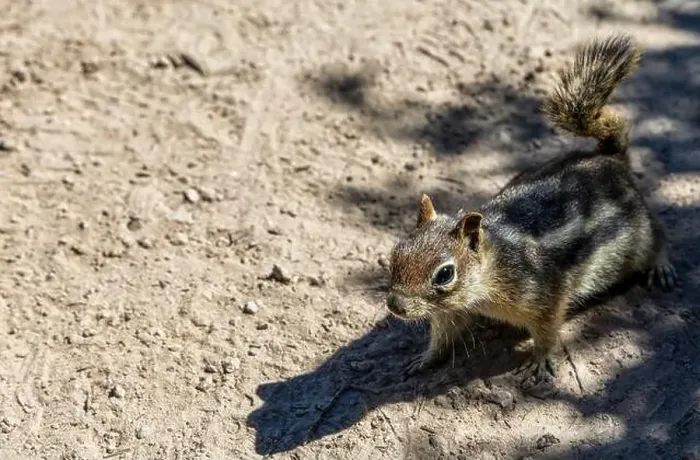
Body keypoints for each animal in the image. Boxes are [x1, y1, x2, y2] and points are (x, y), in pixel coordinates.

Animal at [386, 34, 678, 384]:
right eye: (395, 254)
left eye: (445, 274)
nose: (395, 306)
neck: (492, 269)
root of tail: (609, 157)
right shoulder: (452, 311)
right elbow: (443, 336)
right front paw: (424, 359)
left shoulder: (546, 298)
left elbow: (547, 333)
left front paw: (539, 361)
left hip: (638, 235)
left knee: (658, 236)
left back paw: (661, 267)